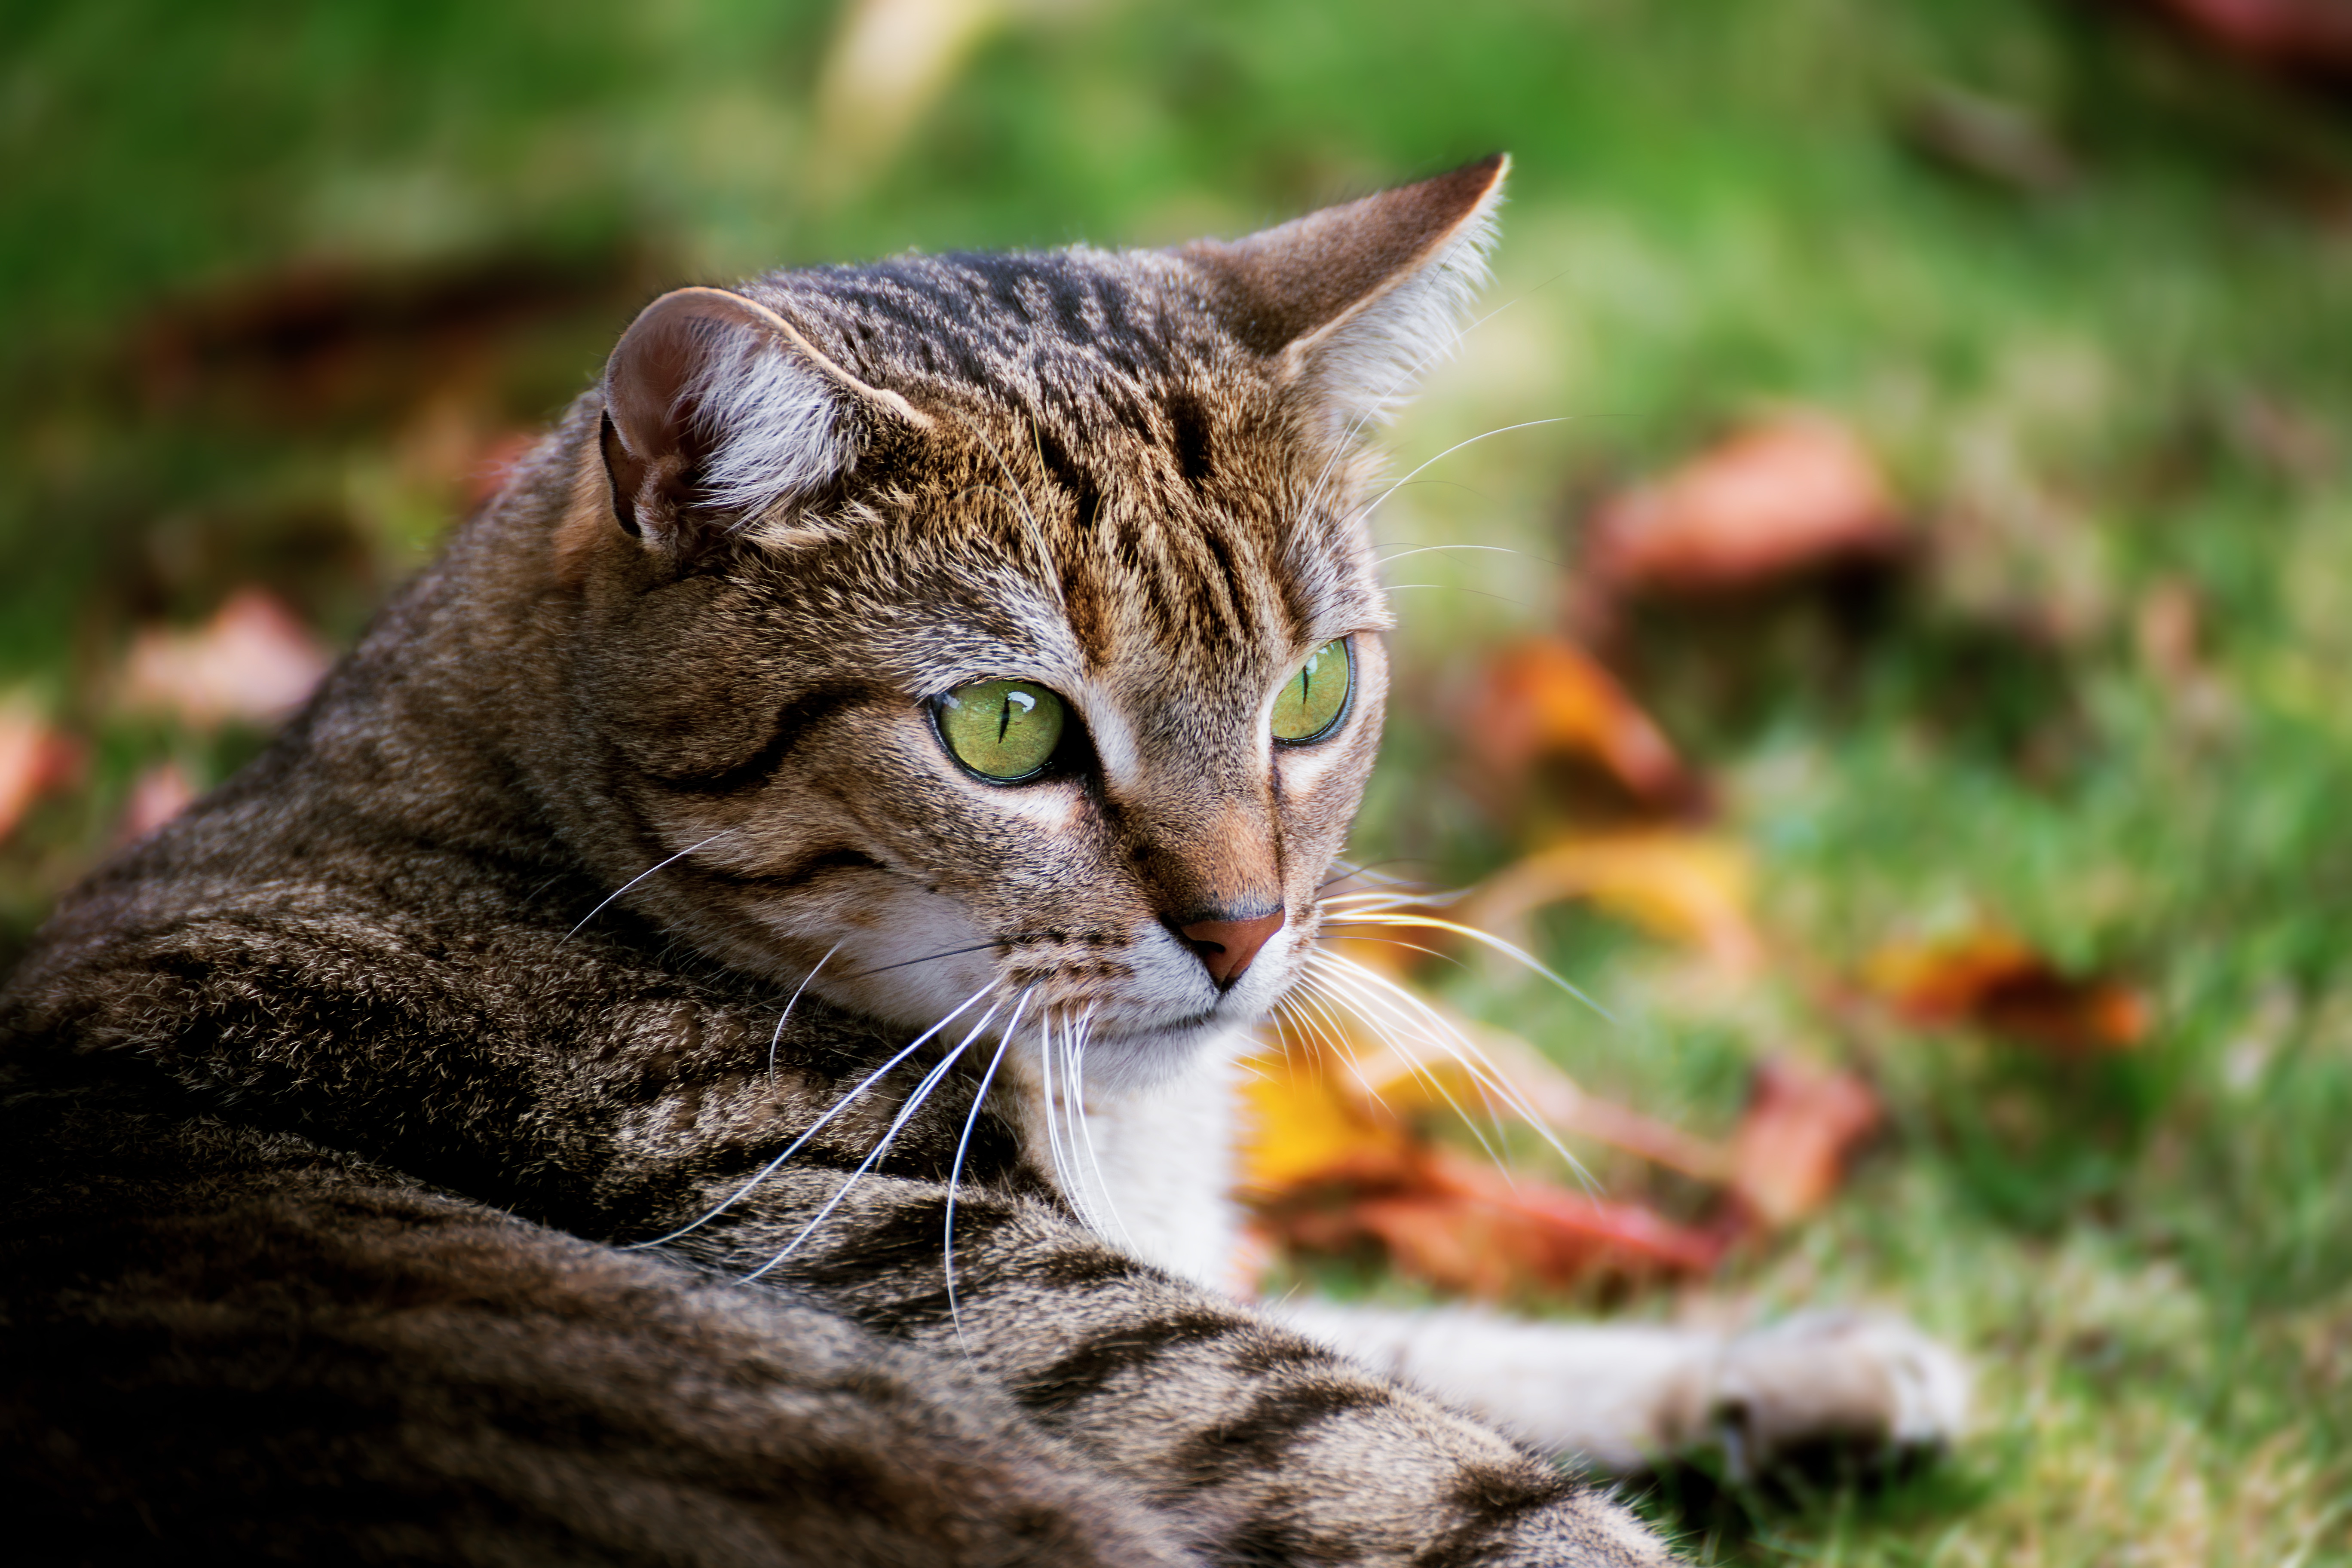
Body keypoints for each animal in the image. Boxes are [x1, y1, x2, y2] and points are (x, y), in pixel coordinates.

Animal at [0, 150, 1947, 1568]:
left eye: (1313, 693)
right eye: (1006, 729)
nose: (1246, 926)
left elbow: (1413, 1339)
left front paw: (1796, 1364)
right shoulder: (1001, 1296)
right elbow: (1440, 1467)